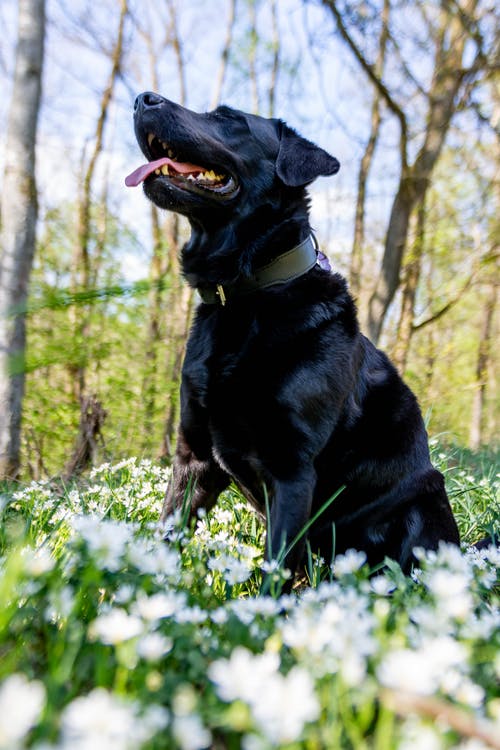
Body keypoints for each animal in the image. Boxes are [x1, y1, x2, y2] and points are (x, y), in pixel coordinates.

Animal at [126, 94, 460, 584]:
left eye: (228, 118)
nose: (142, 98)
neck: (245, 297)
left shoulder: (292, 470)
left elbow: (274, 571)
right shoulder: (194, 457)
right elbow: (167, 534)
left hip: (424, 501)